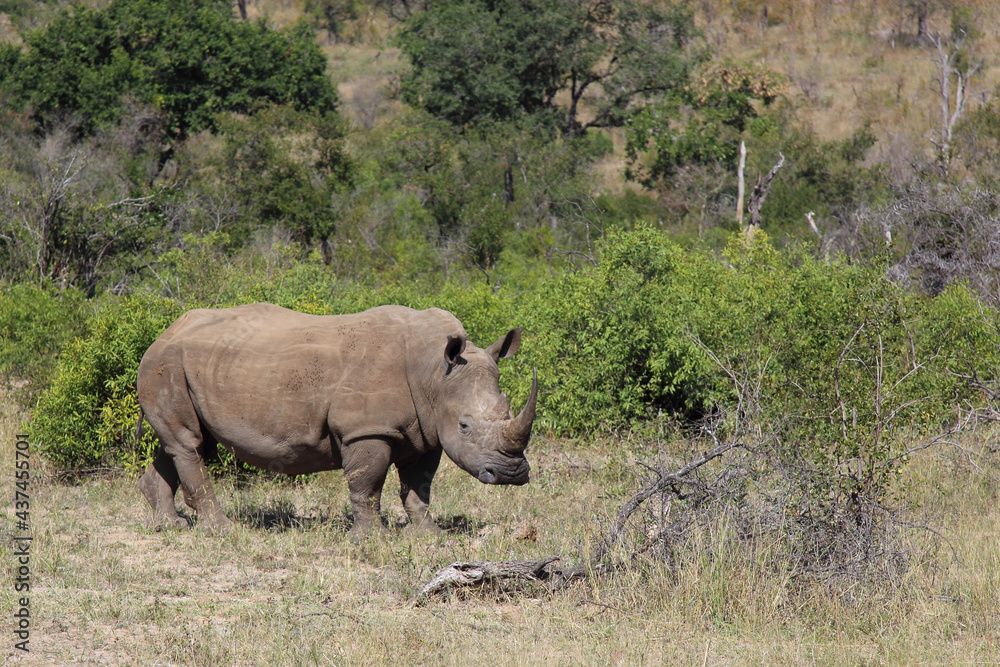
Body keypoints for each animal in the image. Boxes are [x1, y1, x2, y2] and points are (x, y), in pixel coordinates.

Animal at [135, 303, 536, 538]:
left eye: (506, 410)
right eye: (466, 426)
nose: (513, 474)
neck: (435, 373)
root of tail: (164, 333)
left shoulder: (428, 430)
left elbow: (419, 486)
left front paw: (428, 535)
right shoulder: (366, 430)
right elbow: (367, 484)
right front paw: (372, 539)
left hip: (193, 366)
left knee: (189, 443)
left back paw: (169, 525)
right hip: (165, 363)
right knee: (191, 444)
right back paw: (223, 530)